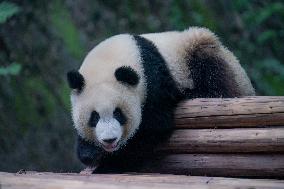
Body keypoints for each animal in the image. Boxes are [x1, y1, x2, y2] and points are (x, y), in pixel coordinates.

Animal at [66, 26, 255, 173]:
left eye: (118, 113)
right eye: (94, 117)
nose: (109, 140)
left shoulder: (154, 81)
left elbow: (154, 127)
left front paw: (110, 165)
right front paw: (90, 152)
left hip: (195, 51)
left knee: (212, 74)